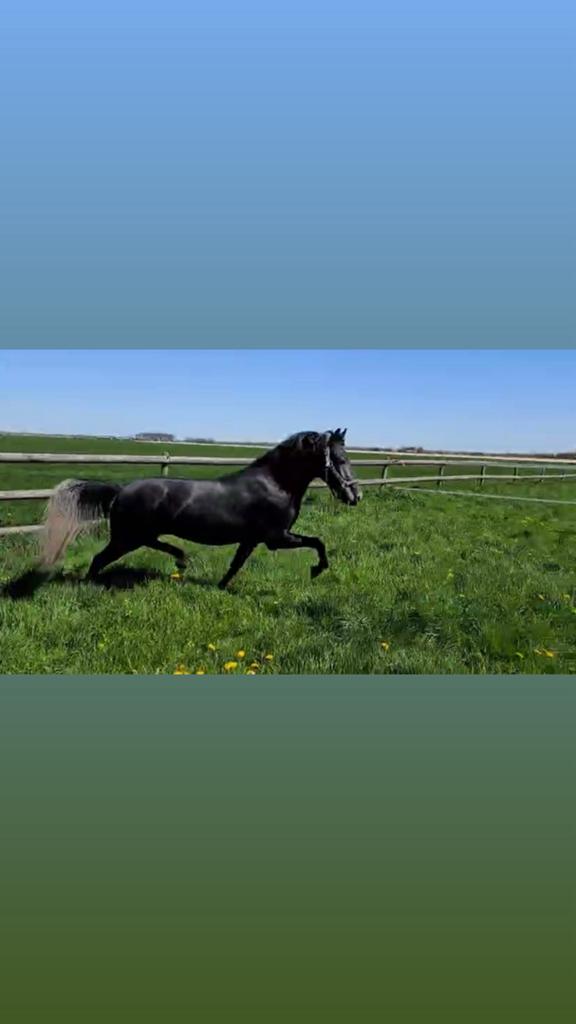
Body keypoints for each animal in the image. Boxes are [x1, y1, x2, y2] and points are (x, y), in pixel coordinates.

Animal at [39, 428, 362, 589]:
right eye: (340, 459)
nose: (355, 495)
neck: (276, 484)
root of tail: (120, 490)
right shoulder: (276, 538)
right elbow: (318, 542)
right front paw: (317, 570)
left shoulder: (252, 539)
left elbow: (236, 564)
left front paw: (220, 587)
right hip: (126, 538)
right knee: (99, 559)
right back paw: (89, 586)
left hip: (136, 536)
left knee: (152, 545)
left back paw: (182, 559)